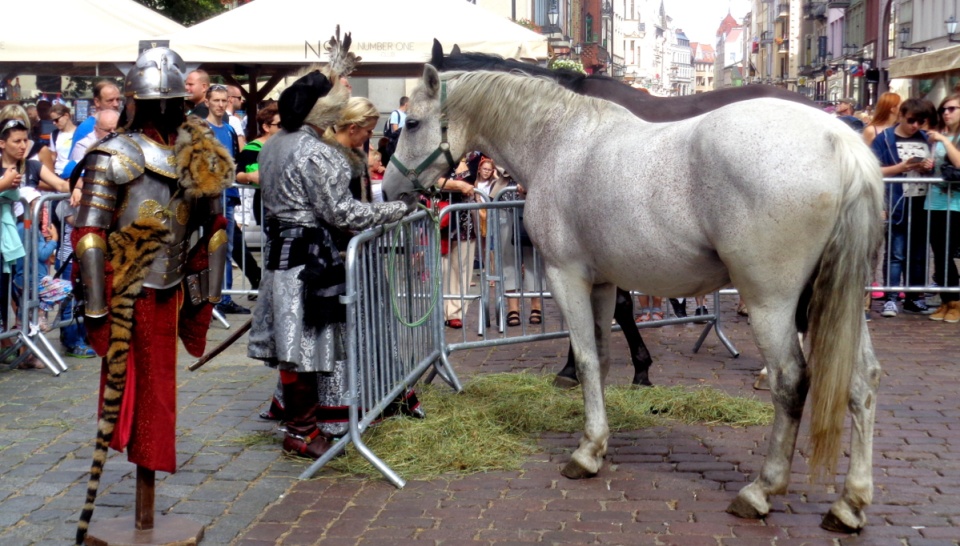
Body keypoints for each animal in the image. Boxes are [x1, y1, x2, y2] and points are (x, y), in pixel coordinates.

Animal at [382, 66, 884, 528]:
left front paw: (585, 452)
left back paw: (761, 490)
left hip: (771, 302)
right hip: (832, 300)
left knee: (790, 382)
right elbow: (603, 358)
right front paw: (599, 442)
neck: (558, 142)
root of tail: (839, 142)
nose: (389, 190)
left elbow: (586, 358)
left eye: (412, 123)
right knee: (862, 382)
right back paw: (850, 503)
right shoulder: (603, 282)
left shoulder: (566, 275)